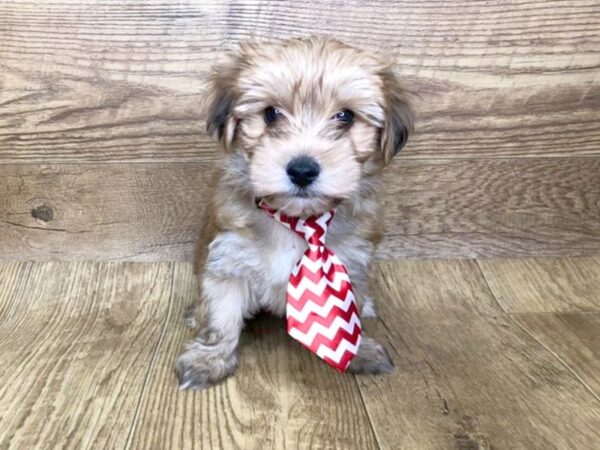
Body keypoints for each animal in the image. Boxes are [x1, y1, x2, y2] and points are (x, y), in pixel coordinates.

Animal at [176, 37, 414, 390]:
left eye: (345, 116)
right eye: (271, 114)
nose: (302, 170)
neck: (298, 221)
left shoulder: (353, 262)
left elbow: (349, 313)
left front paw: (359, 351)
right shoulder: (228, 258)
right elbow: (221, 314)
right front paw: (209, 359)